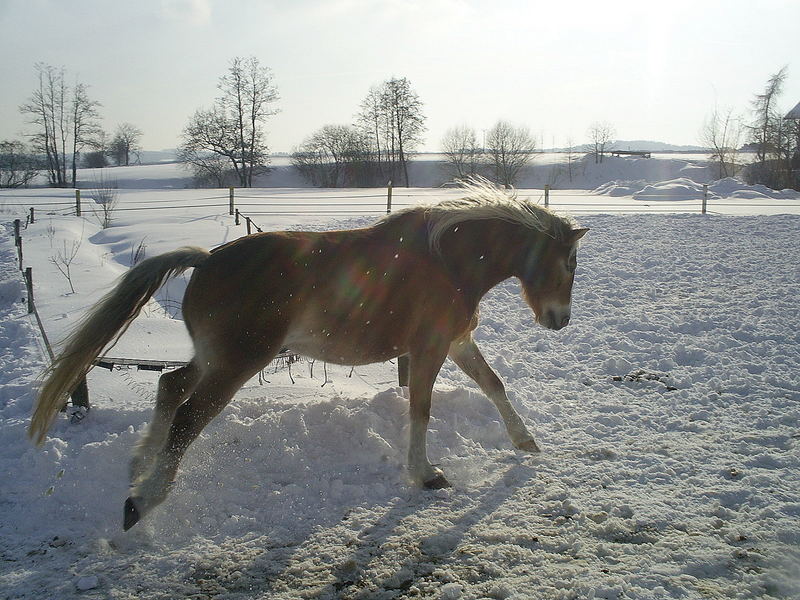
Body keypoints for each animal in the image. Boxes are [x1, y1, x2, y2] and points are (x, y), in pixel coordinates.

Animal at [28, 180, 588, 532]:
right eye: (569, 263)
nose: (560, 319)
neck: (448, 262)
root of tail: (206, 260)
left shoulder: (456, 342)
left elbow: (494, 385)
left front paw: (525, 442)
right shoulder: (428, 348)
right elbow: (421, 409)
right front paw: (426, 474)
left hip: (214, 358)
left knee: (171, 386)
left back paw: (139, 468)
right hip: (238, 362)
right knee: (188, 416)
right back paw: (142, 502)